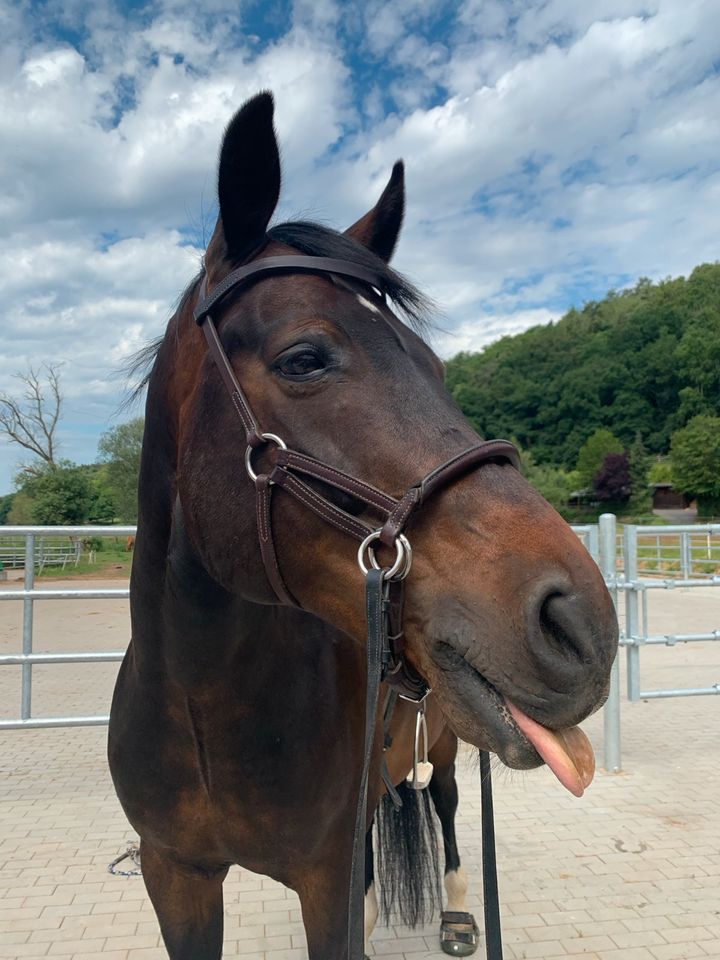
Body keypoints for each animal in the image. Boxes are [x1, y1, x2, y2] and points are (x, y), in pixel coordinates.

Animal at [108, 92, 620, 960]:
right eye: (305, 358)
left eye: (438, 369)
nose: (581, 625)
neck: (206, 708)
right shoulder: (174, 874)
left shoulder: (325, 881)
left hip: (447, 740)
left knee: (444, 801)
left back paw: (455, 910)